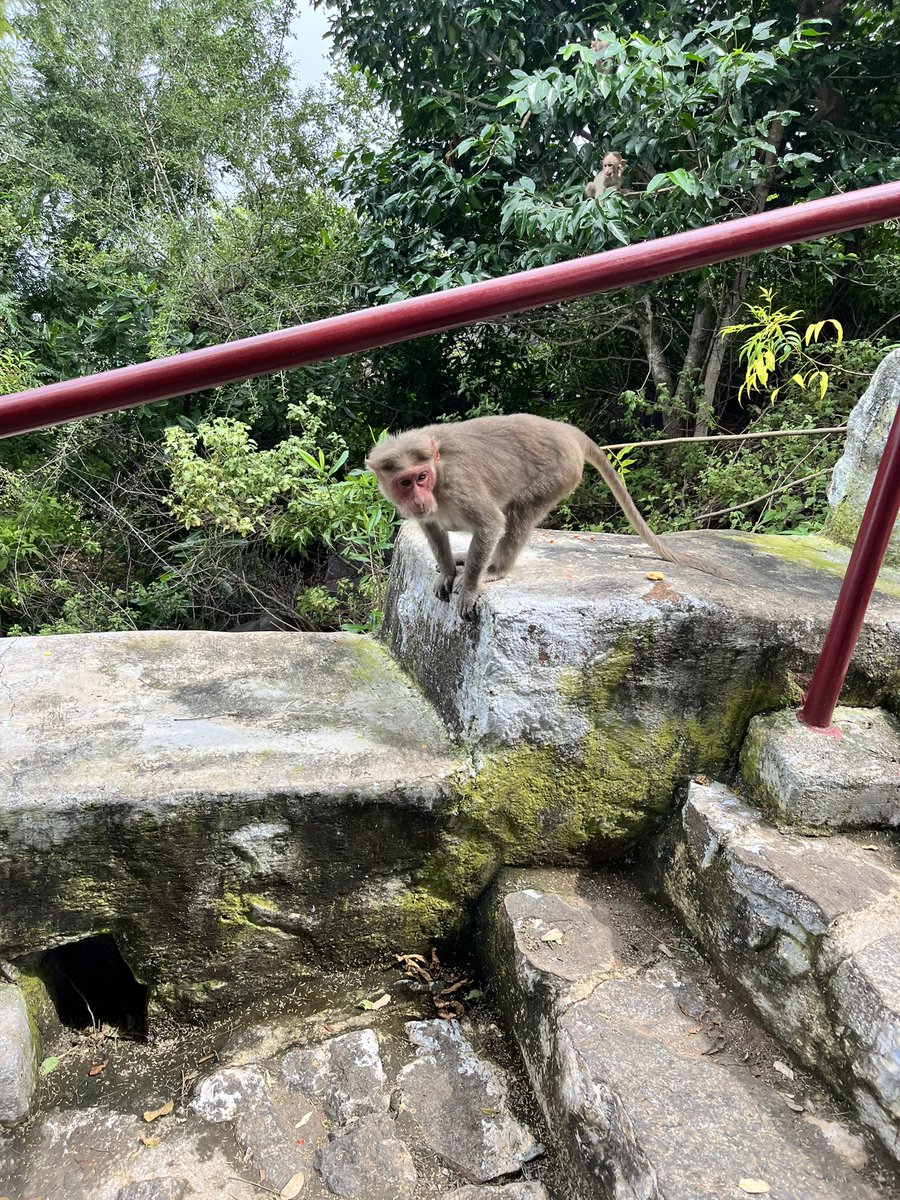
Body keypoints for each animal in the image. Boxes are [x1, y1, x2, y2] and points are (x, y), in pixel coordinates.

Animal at [367, 414, 723, 621]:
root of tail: (565, 430)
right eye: (405, 483)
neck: (438, 477)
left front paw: (468, 587)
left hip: (560, 473)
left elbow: (490, 524)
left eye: (422, 477)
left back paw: (495, 569)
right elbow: (433, 530)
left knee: (518, 511)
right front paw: (448, 571)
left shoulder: (458, 485)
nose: (419, 499)